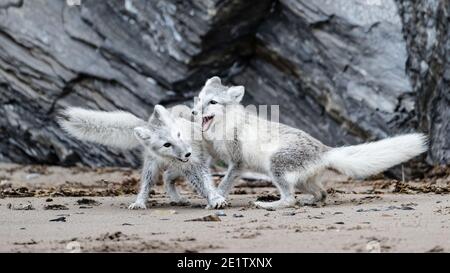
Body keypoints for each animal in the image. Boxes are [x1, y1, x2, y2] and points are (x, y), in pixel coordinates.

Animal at [59, 104, 229, 208]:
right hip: (152, 168)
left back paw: (178, 199)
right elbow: (201, 185)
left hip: (177, 168)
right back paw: (141, 202)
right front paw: (213, 199)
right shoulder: (188, 167)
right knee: (151, 183)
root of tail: (148, 124)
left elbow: (206, 183)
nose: (188, 153)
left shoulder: (198, 163)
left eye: (179, 134)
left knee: (167, 176)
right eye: (167, 144)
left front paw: (214, 198)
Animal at [192, 76, 428, 208]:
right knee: (322, 194)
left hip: (276, 168)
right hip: (302, 181)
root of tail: (325, 150)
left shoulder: (237, 163)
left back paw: (268, 205)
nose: (194, 112)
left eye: (213, 102)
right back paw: (310, 202)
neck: (224, 125)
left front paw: (216, 199)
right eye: (199, 99)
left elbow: (223, 184)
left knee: (290, 200)